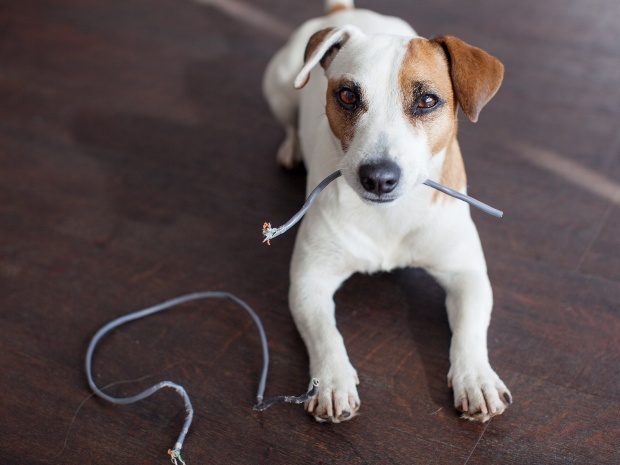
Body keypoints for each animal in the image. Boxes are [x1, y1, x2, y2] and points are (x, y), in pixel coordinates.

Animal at [264, 0, 512, 420]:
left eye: (427, 101)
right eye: (347, 95)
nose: (378, 178)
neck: (388, 217)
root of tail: (343, 10)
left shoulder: (467, 274)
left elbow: (470, 329)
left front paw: (476, 377)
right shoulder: (309, 281)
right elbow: (325, 332)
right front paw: (331, 380)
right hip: (281, 86)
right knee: (289, 120)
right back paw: (291, 147)